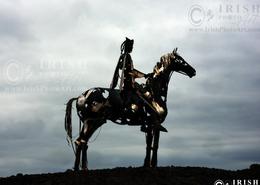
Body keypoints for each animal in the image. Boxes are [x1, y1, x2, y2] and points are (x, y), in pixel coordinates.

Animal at [64, 48, 195, 171]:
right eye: (180, 60)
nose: (193, 71)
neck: (153, 94)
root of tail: (80, 97)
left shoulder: (151, 126)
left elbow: (151, 145)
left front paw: (148, 165)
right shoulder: (154, 124)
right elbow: (153, 145)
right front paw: (151, 165)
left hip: (92, 123)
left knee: (82, 142)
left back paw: (81, 168)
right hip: (92, 122)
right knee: (81, 141)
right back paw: (79, 168)